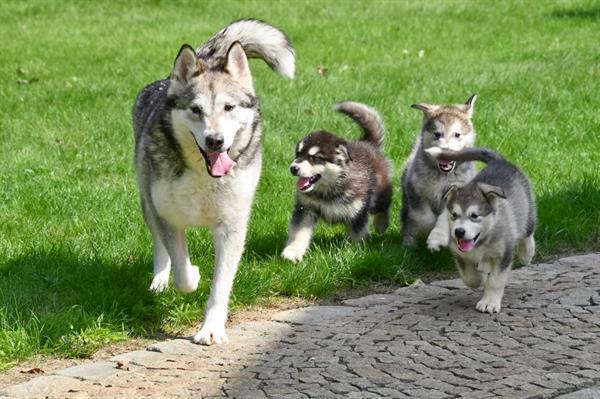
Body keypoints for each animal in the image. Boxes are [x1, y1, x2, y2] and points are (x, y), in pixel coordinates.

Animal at [135, 18, 296, 346]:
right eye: (196, 110)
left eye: (229, 108)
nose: (215, 141)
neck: (203, 174)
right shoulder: (167, 215)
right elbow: (182, 272)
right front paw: (193, 274)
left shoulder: (231, 225)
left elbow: (221, 284)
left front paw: (211, 328)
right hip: (147, 200)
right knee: (159, 247)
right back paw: (159, 280)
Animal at [282, 101, 394, 262]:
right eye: (298, 154)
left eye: (315, 157)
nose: (293, 168)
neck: (331, 187)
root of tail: (367, 143)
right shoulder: (306, 208)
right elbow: (299, 232)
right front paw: (292, 252)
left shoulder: (358, 212)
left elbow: (357, 235)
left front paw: (354, 252)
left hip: (380, 195)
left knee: (384, 206)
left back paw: (381, 225)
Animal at [400, 95, 480, 248]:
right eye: (437, 134)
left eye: (457, 135)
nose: (445, 151)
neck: (442, 175)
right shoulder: (416, 191)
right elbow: (424, 218)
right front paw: (429, 231)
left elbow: (444, 218)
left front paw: (437, 237)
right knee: (409, 223)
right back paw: (408, 244)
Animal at [424, 145, 536, 314]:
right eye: (454, 215)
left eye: (475, 215)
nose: (459, 232)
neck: (481, 242)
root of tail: (500, 161)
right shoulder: (460, 254)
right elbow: (470, 278)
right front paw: (481, 278)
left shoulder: (504, 253)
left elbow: (495, 280)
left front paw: (489, 303)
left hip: (527, 210)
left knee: (527, 232)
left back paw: (526, 252)